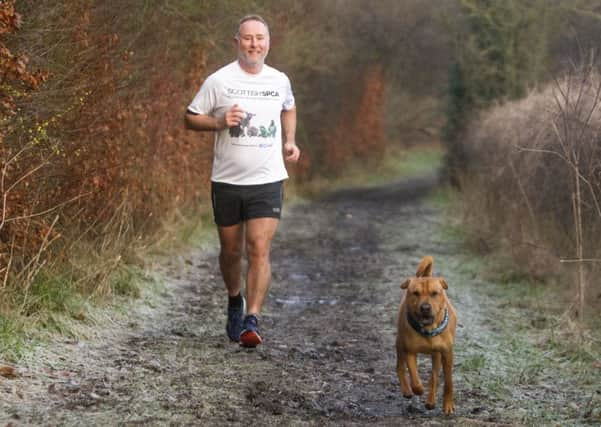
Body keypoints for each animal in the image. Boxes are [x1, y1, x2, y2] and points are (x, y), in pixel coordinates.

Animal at [396, 256, 458, 416]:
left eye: (434, 293)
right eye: (415, 293)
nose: (425, 308)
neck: (429, 329)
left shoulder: (447, 353)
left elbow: (448, 381)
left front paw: (448, 405)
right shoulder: (410, 351)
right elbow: (413, 375)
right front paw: (418, 389)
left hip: (436, 355)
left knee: (434, 376)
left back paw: (431, 401)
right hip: (400, 343)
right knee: (399, 366)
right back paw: (407, 390)